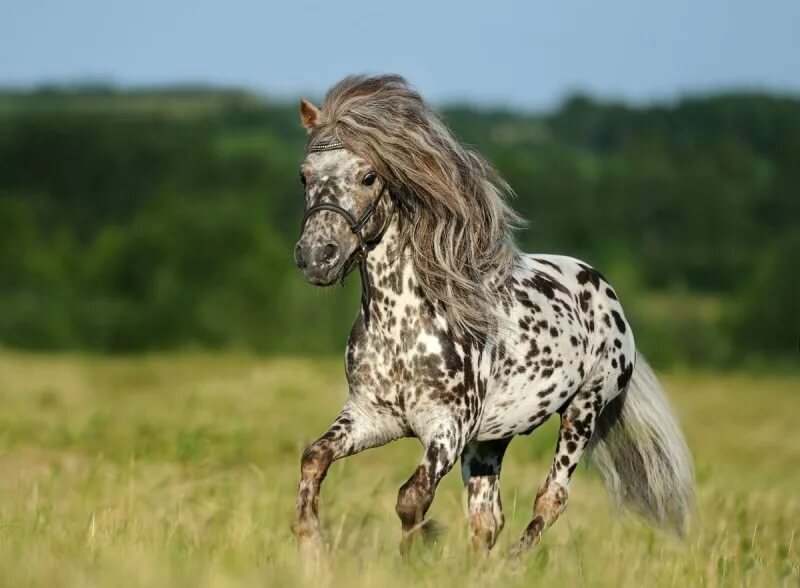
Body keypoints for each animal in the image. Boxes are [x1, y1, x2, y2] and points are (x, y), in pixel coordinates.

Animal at [290, 74, 694, 559]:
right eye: (305, 175)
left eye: (368, 176)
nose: (317, 257)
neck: (402, 328)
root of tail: (606, 293)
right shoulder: (372, 417)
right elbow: (314, 458)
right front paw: (310, 543)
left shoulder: (448, 429)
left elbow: (412, 498)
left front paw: (415, 553)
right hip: (492, 439)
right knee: (488, 519)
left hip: (582, 410)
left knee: (551, 498)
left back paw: (514, 563)